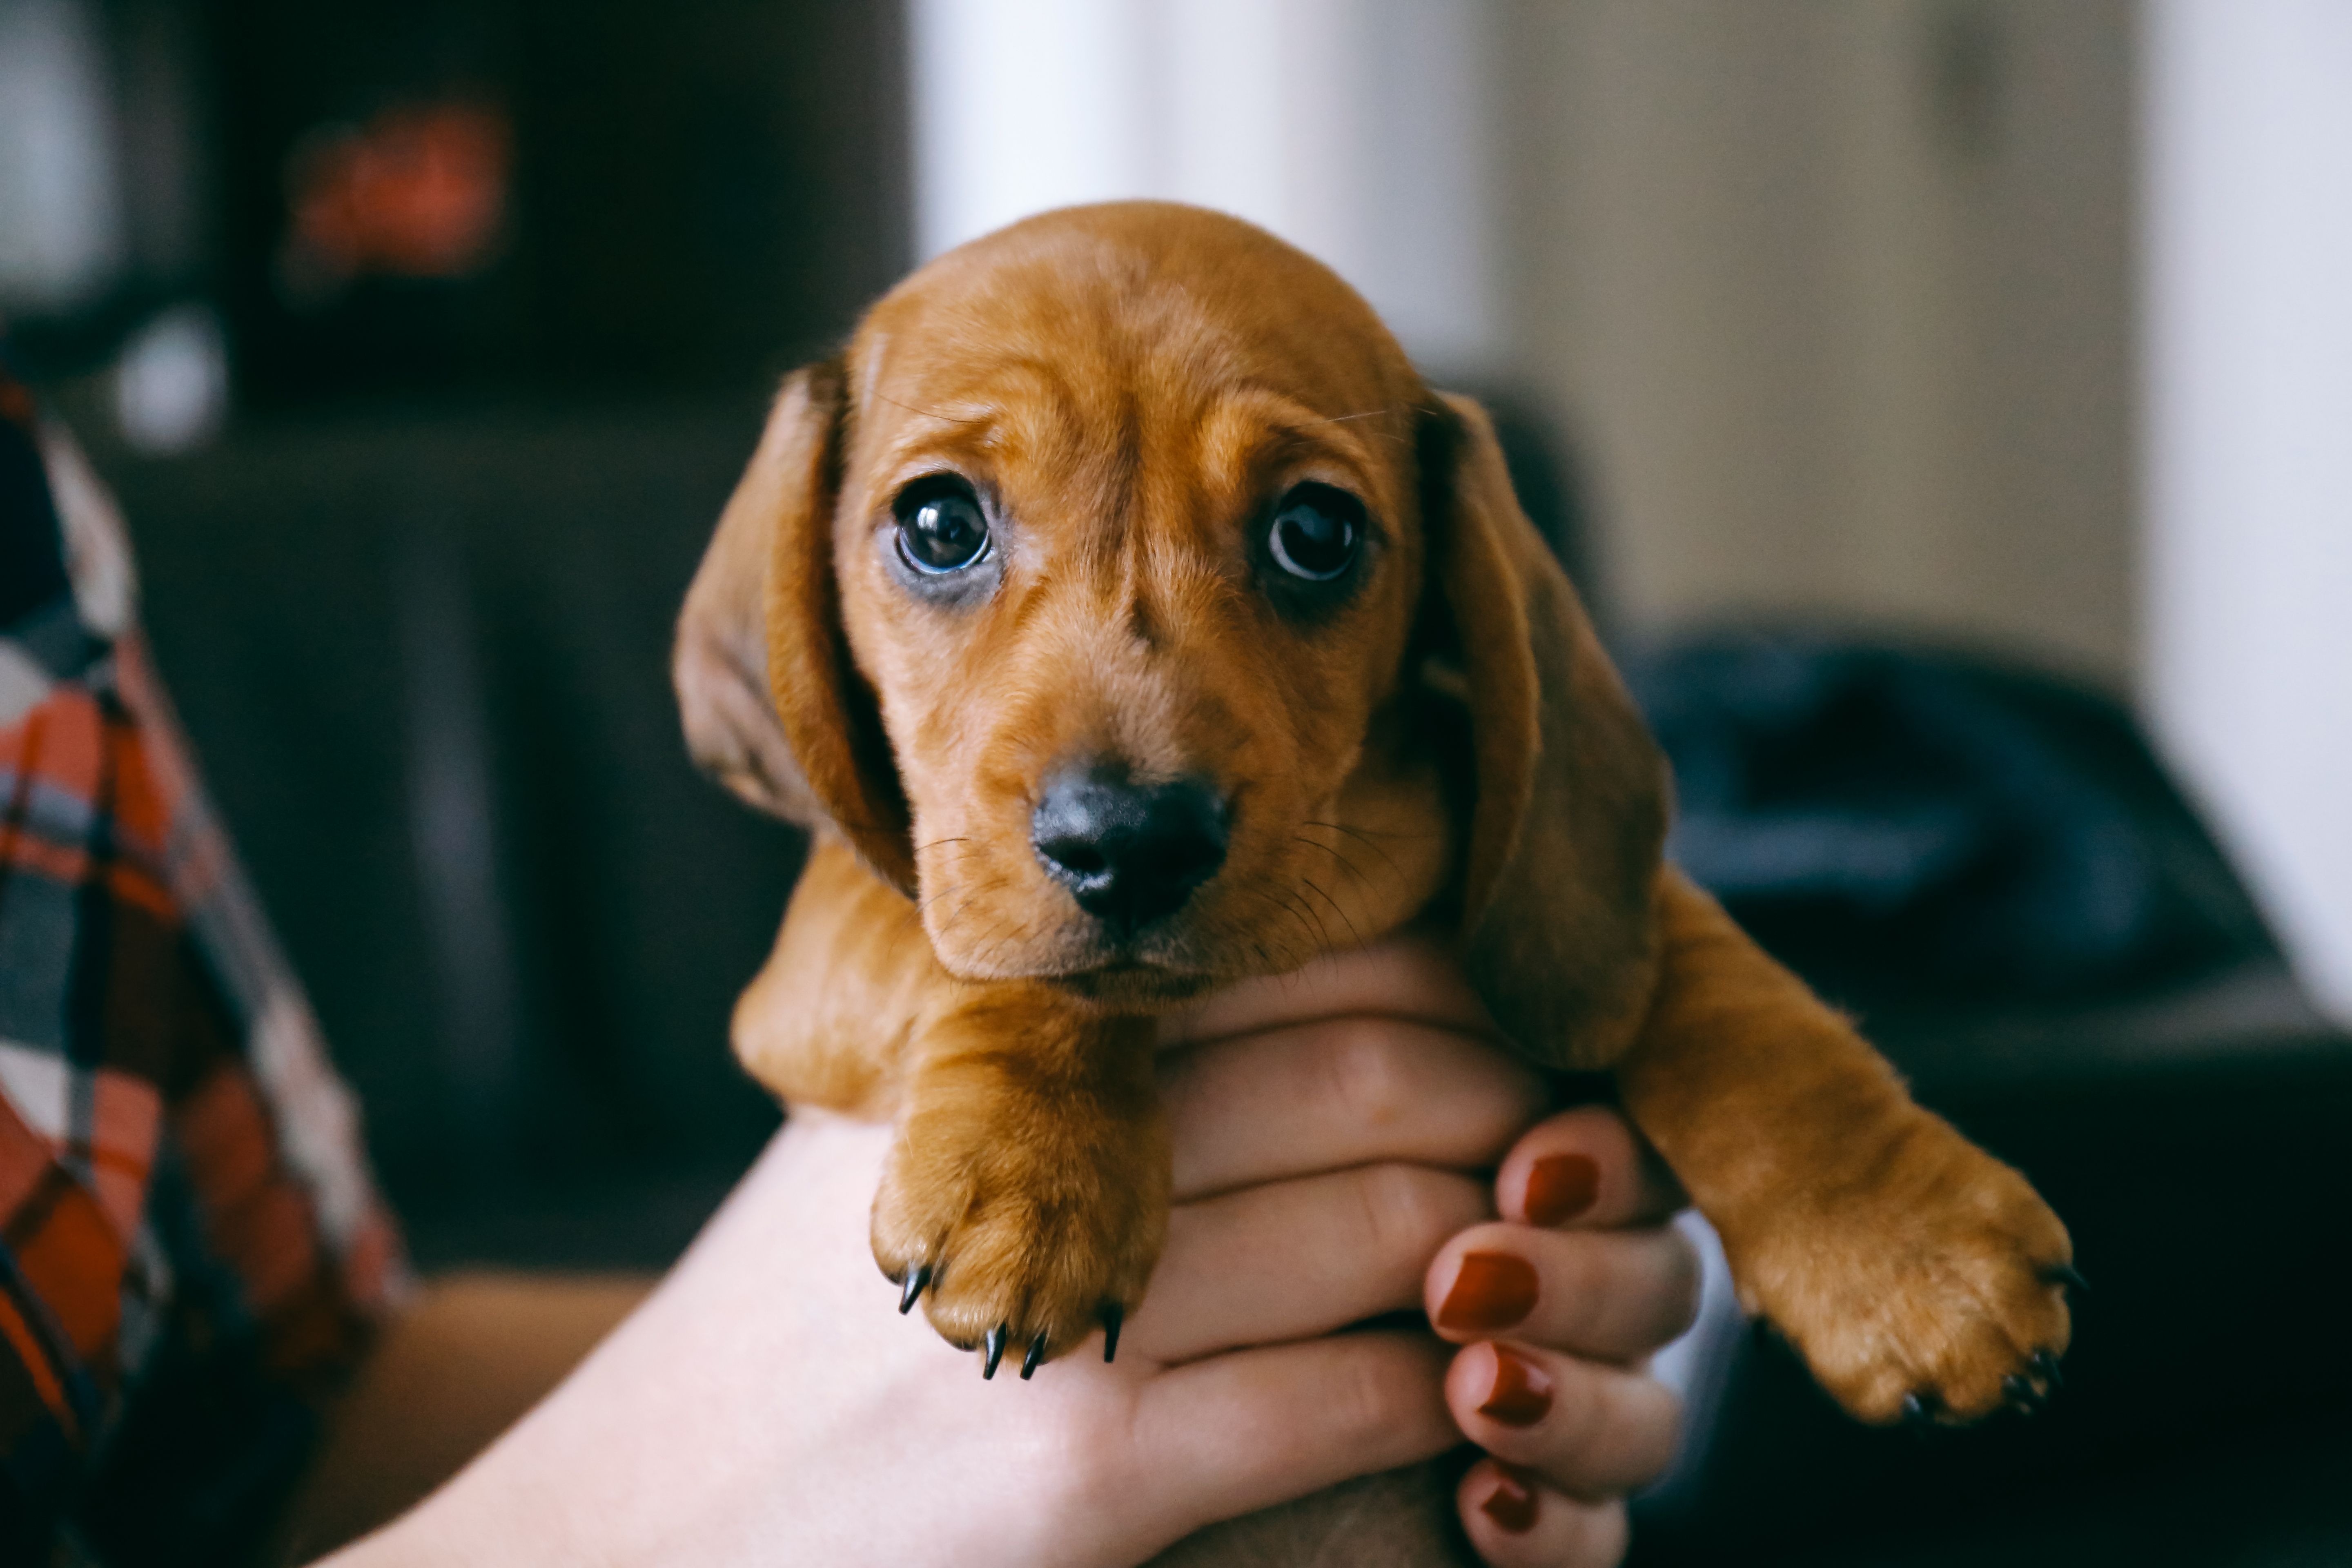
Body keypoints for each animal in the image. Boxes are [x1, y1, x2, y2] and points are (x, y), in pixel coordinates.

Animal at [673, 215, 2069, 1439]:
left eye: (1315, 533)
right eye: (940, 523)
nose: (1131, 841)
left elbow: (1719, 992)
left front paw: (1901, 1249)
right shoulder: (820, 957)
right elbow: (982, 953)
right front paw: (1036, 1172)